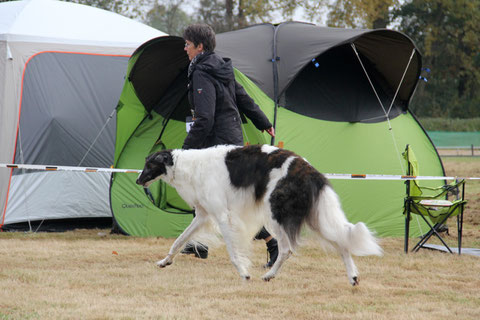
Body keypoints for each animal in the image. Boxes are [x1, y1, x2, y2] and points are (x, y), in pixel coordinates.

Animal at [136, 144, 382, 284]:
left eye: (149, 164)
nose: (138, 180)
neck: (187, 165)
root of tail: (311, 171)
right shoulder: (203, 215)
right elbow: (179, 241)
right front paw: (164, 261)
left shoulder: (223, 216)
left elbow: (233, 252)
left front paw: (244, 273)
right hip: (314, 218)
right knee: (342, 243)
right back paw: (352, 277)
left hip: (276, 214)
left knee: (287, 249)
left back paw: (269, 275)